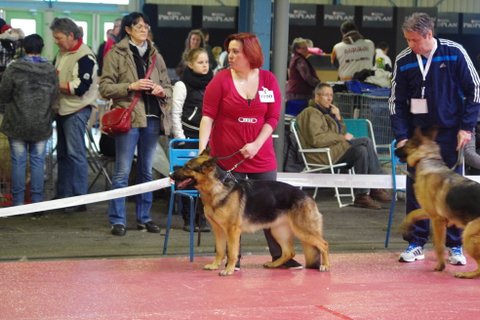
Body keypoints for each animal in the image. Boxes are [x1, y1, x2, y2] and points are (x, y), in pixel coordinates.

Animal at [171, 149, 332, 276]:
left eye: (187, 167)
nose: (171, 175)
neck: (216, 188)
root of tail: (307, 196)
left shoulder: (232, 231)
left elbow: (232, 253)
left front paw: (228, 269)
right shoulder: (218, 230)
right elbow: (220, 251)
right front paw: (215, 265)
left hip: (302, 231)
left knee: (324, 244)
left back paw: (326, 265)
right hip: (278, 231)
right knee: (289, 252)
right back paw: (274, 264)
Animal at [396, 127, 480, 278]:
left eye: (406, 145)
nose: (394, 149)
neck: (427, 158)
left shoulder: (437, 220)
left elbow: (440, 246)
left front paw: (440, 266)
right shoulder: (429, 212)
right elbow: (412, 213)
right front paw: (405, 225)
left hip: (468, 235)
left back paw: (466, 274)